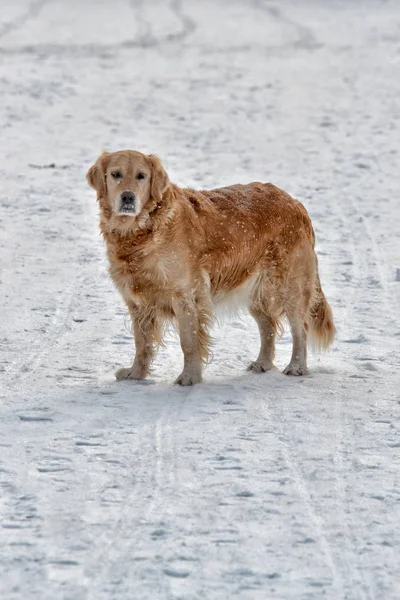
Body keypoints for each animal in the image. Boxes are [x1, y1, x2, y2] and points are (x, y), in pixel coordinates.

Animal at [86, 150, 334, 384]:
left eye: (141, 176)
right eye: (115, 174)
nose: (128, 197)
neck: (140, 232)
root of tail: (295, 203)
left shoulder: (186, 295)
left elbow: (188, 341)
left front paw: (190, 376)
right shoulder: (137, 301)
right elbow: (141, 342)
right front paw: (136, 373)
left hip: (290, 286)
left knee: (300, 328)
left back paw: (296, 366)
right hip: (255, 290)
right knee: (268, 326)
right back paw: (262, 363)